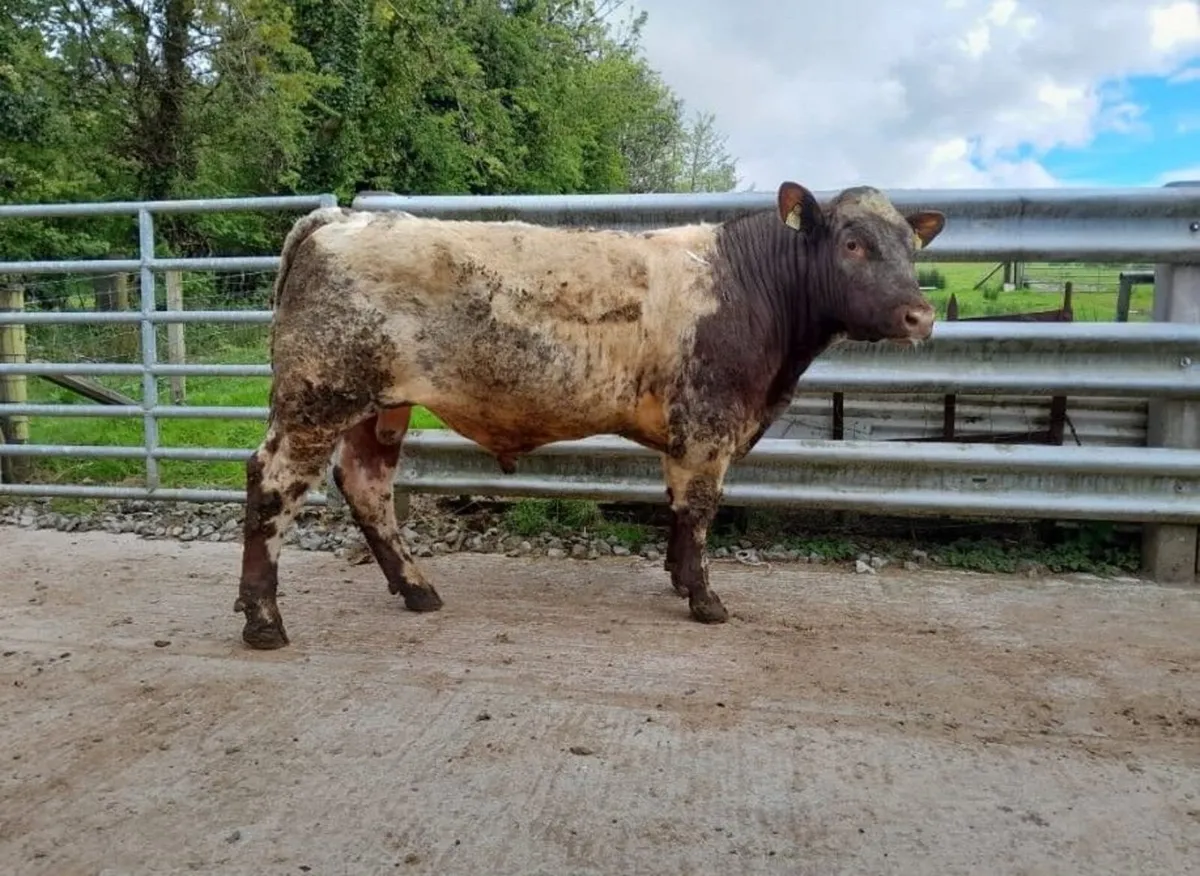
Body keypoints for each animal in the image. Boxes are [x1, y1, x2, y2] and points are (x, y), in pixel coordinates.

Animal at [233, 182, 944, 649]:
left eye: (911, 247)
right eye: (852, 243)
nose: (920, 315)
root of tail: (339, 220)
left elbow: (678, 509)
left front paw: (677, 579)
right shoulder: (708, 426)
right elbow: (700, 510)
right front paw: (705, 599)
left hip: (379, 406)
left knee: (367, 485)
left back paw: (417, 589)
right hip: (317, 396)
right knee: (273, 485)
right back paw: (264, 621)